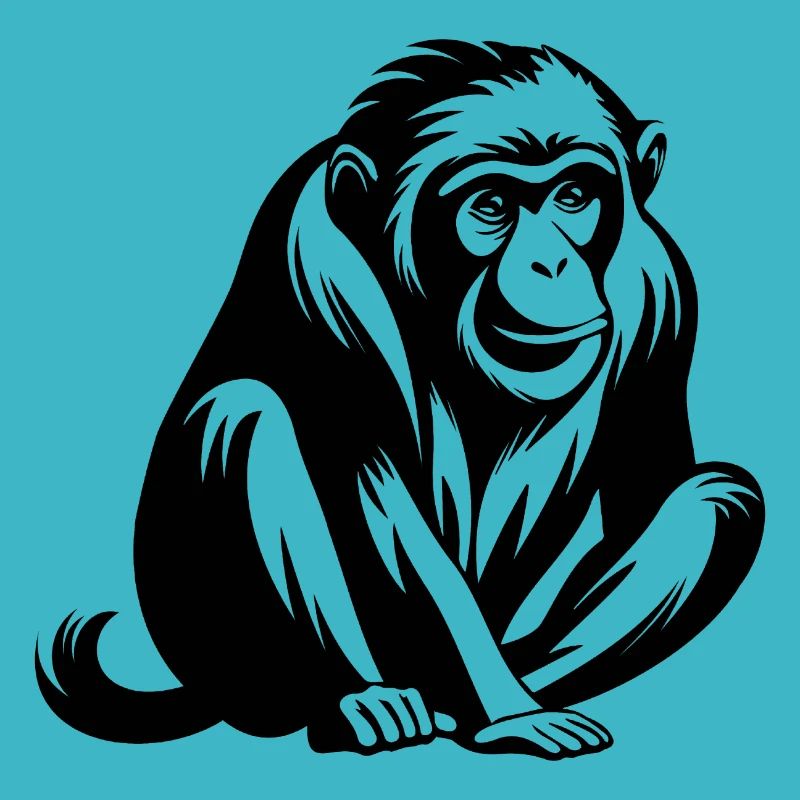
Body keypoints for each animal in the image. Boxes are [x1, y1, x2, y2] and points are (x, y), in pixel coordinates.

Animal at [36, 40, 764, 760]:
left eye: (574, 195)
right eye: (491, 205)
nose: (551, 264)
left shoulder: (662, 285)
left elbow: (657, 488)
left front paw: (514, 707)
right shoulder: (324, 275)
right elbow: (382, 495)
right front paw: (508, 714)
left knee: (721, 498)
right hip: (224, 653)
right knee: (243, 418)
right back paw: (359, 701)